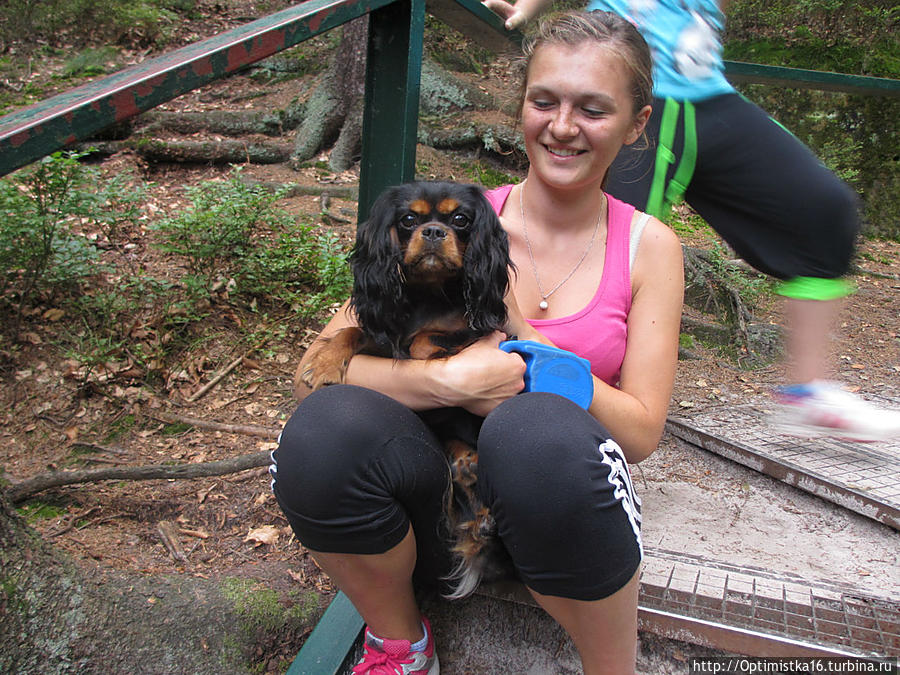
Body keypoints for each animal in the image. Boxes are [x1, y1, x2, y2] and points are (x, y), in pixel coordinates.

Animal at [298, 182, 512, 600]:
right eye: (409, 219)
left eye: (461, 219)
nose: (433, 232)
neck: (429, 294)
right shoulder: (383, 334)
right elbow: (353, 330)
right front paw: (327, 364)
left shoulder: (481, 333)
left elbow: (424, 340)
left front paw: (425, 348)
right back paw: (467, 471)